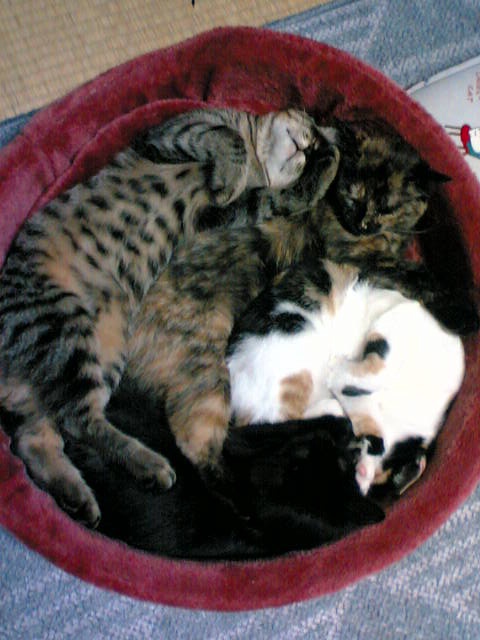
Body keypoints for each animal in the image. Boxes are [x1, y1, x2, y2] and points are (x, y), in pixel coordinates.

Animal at [226, 258, 466, 496]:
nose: (356, 464)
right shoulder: (400, 319)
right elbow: (374, 370)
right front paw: (338, 369)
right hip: (293, 353)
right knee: (279, 417)